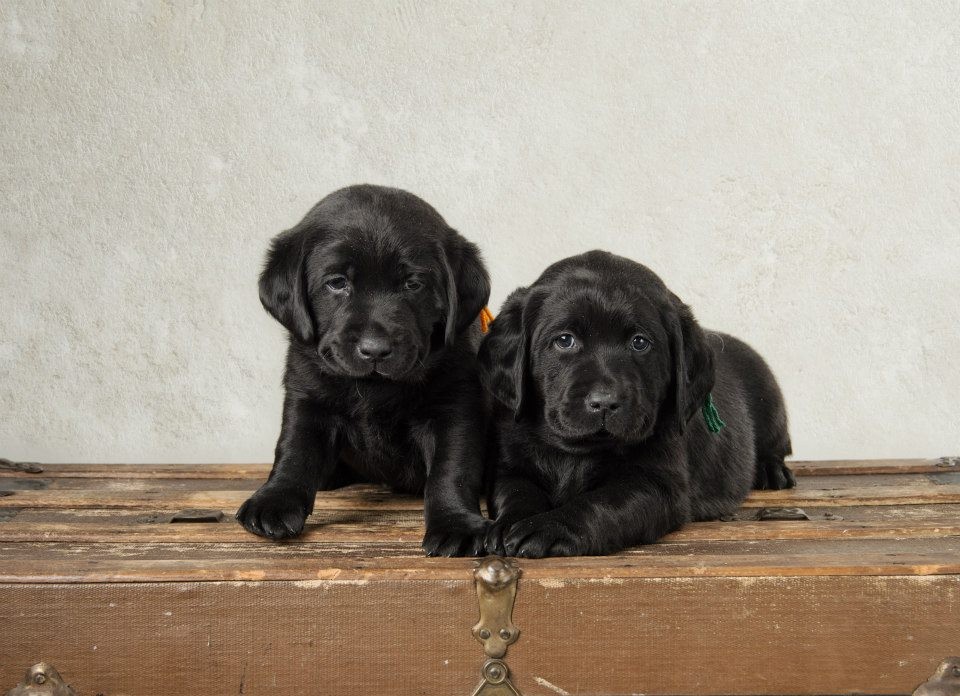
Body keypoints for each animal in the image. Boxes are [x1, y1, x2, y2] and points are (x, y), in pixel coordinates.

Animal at [238, 184, 496, 556]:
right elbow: (294, 450)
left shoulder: (455, 405)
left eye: (413, 284)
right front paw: (275, 499)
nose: (375, 349)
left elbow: (452, 469)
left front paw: (456, 523)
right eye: (337, 283)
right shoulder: (306, 396)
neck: (375, 387)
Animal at [480, 253, 796, 556]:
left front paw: (550, 527)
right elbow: (516, 493)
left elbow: (601, 505)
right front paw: (507, 525)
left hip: (771, 401)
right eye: (565, 340)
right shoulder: (511, 465)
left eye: (640, 342)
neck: (577, 453)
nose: (604, 403)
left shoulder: (656, 485)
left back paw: (771, 470)